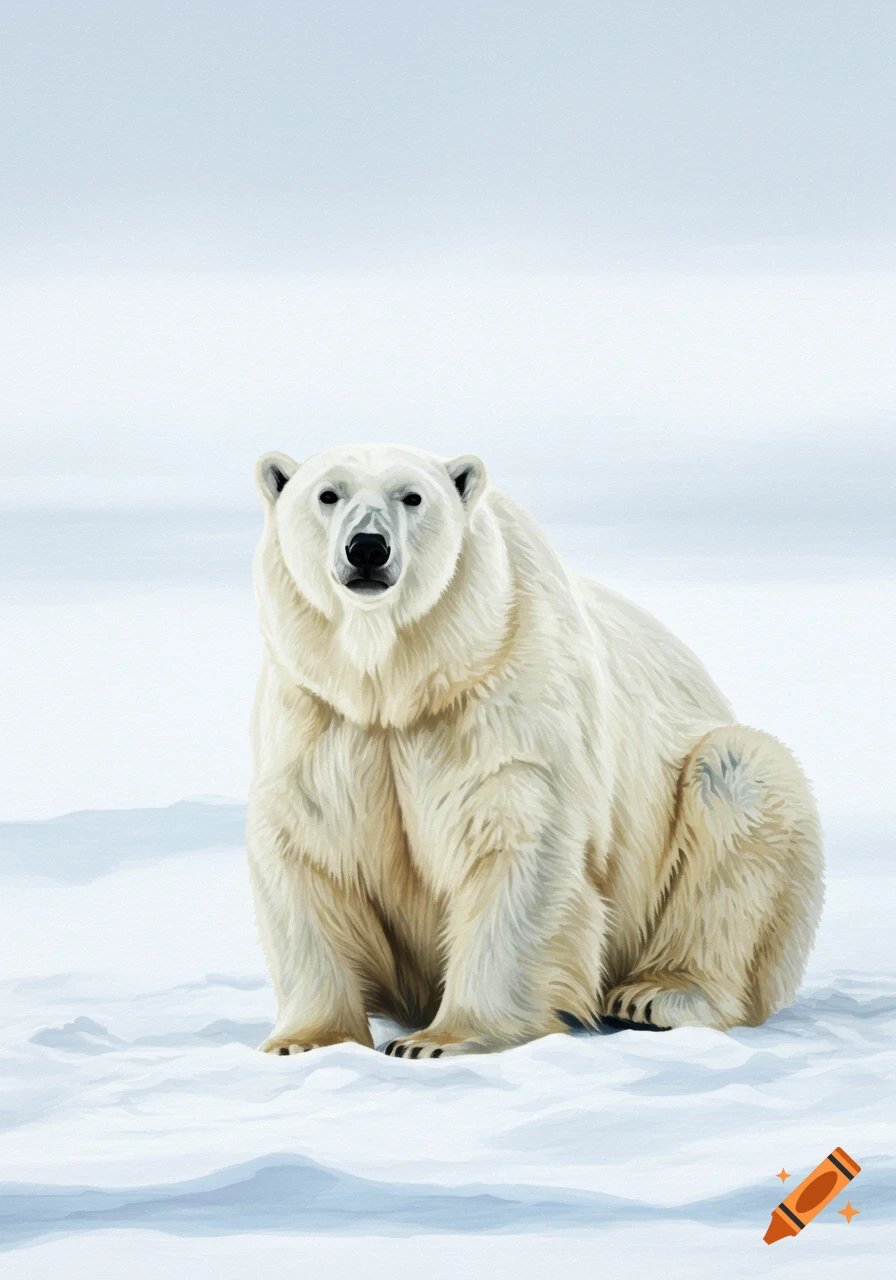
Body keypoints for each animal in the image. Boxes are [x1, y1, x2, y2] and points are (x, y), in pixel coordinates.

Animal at [247, 443, 824, 1058]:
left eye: (413, 496)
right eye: (328, 494)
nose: (368, 548)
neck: (402, 686)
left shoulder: (502, 692)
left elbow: (513, 843)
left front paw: (440, 1039)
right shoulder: (323, 714)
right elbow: (307, 848)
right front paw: (304, 1041)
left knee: (737, 785)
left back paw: (656, 995)